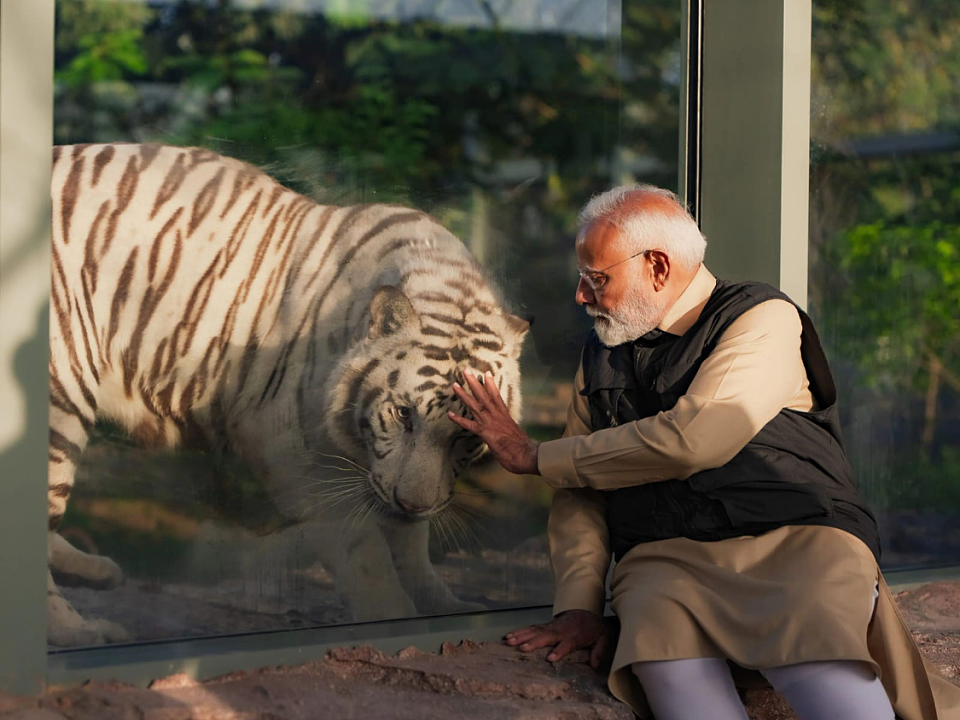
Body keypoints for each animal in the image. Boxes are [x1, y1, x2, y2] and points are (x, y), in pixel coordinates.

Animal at [47, 145, 532, 648]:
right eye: (403, 414)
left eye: (467, 436)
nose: (412, 505)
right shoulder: (288, 450)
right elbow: (363, 551)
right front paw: (392, 616)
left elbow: (411, 545)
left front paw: (446, 605)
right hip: (62, 395)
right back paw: (79, 631)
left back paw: (96, 570)